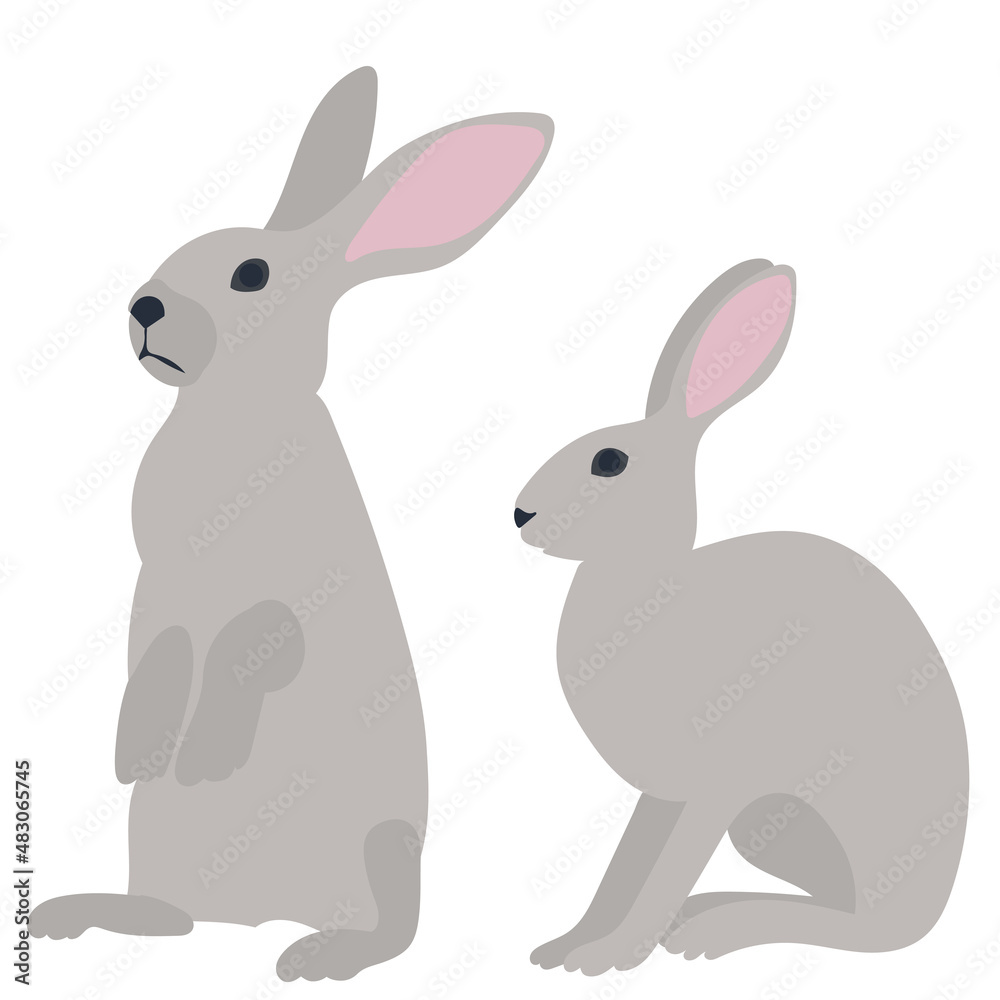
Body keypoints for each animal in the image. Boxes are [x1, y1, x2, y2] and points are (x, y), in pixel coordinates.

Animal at [30, 66, 553, 981]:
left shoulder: (297, 588)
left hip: (383, 845)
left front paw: (207, 756)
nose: (144, 307)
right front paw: (139, 752)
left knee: (397, 930)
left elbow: (257, 640)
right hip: (153, 847)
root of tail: (253, 917)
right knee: (167, 920)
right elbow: (158, 656)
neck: (231, 417)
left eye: (250, 273)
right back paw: (76, 915)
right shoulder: (159, 588)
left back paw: (321, 956)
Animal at [515, 259, 969, 975]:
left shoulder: (716, 785)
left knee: (870, 928)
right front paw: (567, 948)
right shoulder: (665, 796)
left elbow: (664, 869)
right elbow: (627, 866)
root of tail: (936, 899)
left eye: (609, 461)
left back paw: (713, 931)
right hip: (767, 830)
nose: (520, 516)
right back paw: (709, 914)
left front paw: (610, 956)